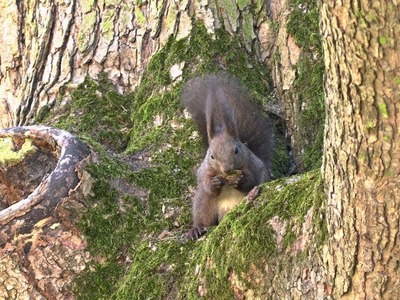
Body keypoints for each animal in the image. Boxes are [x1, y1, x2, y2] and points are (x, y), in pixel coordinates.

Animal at [180, 73, 272, 239]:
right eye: (211, 156)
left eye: (236, 150)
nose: (227, 169)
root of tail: (226, 214)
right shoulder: (205, 171)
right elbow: (207, 184)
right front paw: (214, 182)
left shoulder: (250, 165)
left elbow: (251, 180)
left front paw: (240, 181)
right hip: (204, 203)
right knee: (204, 215)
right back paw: (196, 229)